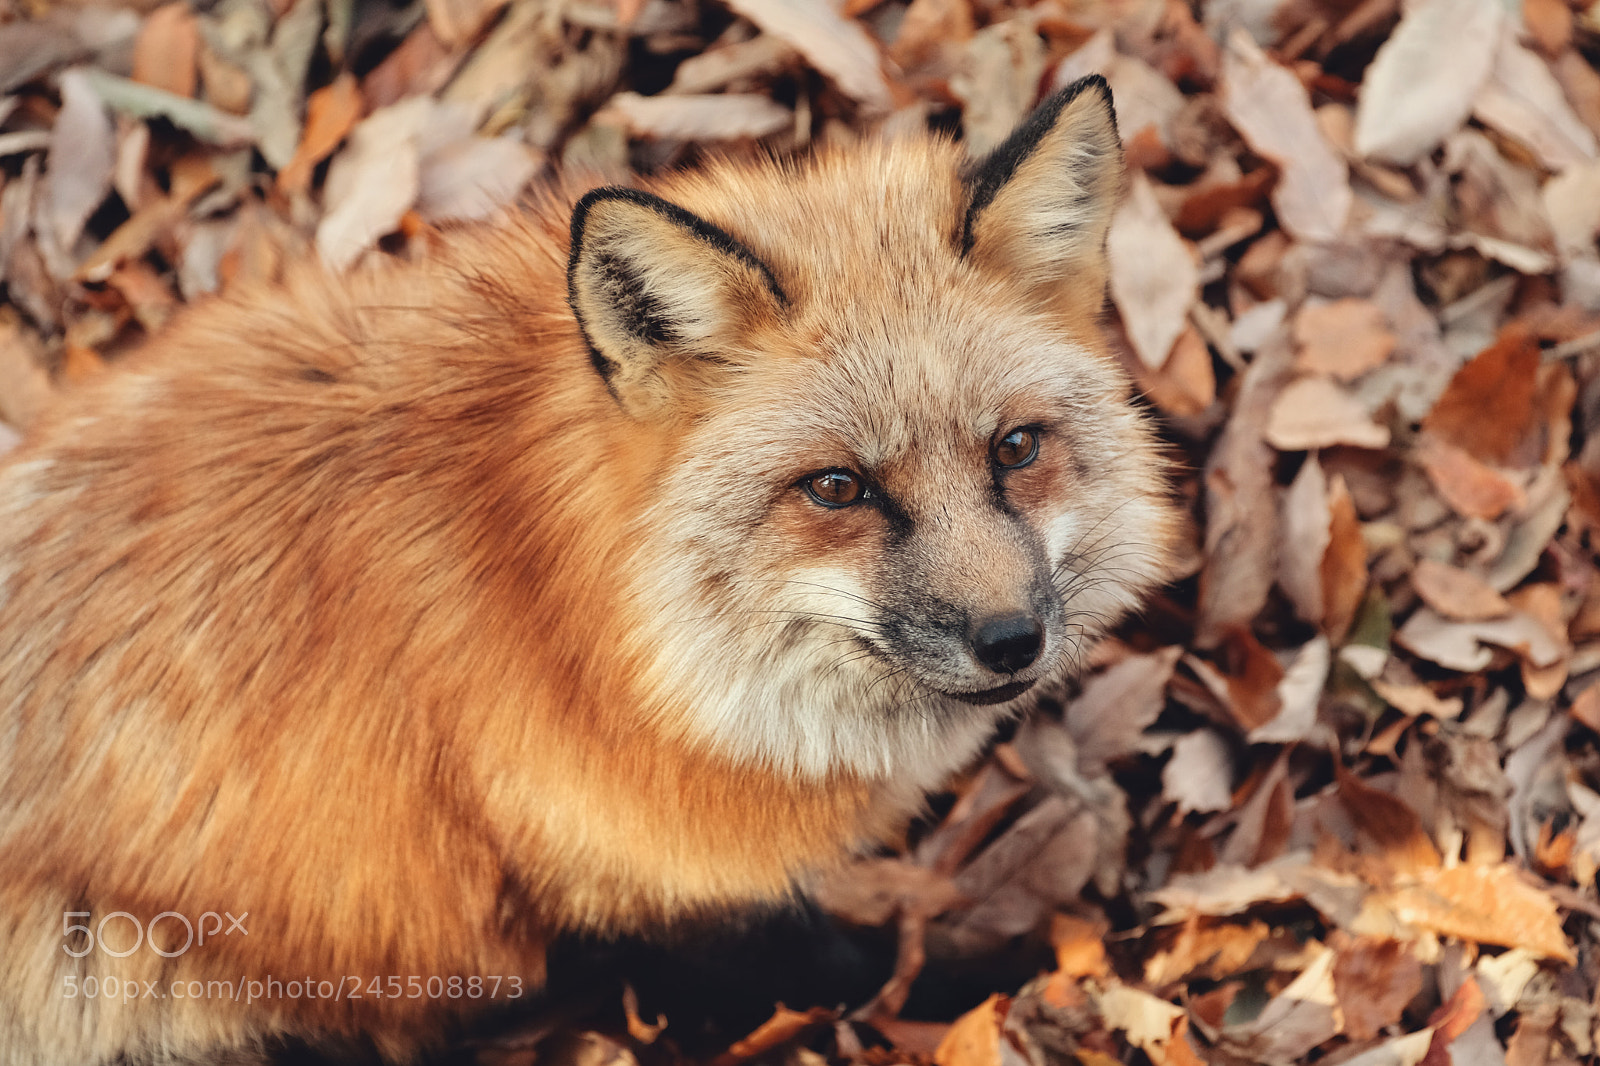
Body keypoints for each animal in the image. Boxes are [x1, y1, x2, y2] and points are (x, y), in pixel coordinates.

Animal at [0, 74, 1175, 1065]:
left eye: (1013, 448)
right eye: (837, 487)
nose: (1012, 640)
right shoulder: (636, 886)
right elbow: (833, 966)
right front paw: (984, 970)